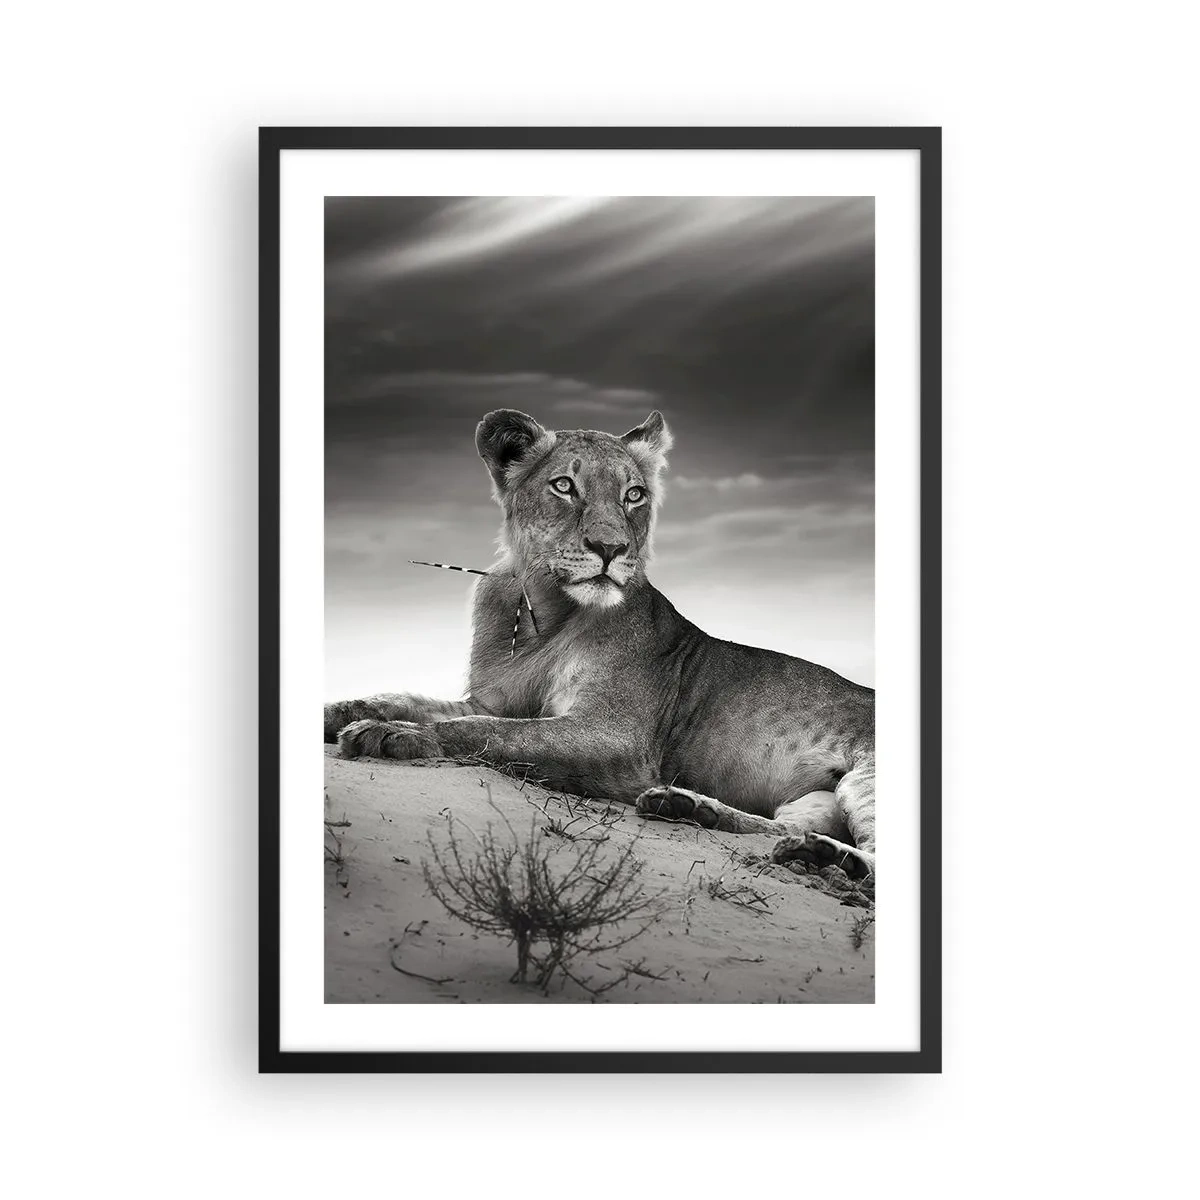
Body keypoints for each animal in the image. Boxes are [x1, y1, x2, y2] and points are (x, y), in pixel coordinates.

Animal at [325, 409, 875, 877]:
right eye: (564, 486)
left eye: (634, 495)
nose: (610, 548)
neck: (544, 612)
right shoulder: (493, 700)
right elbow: (408, 698)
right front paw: (344, 711)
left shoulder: (616, 736)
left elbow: (483, 732)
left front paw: (392, 735)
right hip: (811, 800)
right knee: (778, 825)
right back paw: (688, 808)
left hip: (865, 779)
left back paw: (826, 858)